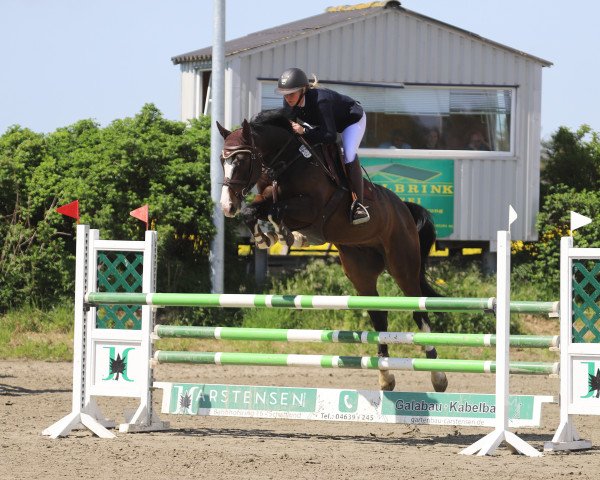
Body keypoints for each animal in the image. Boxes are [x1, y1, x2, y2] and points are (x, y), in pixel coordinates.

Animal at [218, 111, 448, 394]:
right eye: (222, 161)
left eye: (241, 160)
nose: (227, 206)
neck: (287, 161)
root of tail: (404, 209)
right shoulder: (270, 198)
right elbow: (255, 210)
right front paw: (267, 237)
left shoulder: (311, 208)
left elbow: (276, 210)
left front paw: (283, 235)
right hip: (360, 271)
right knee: (379, 317)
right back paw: (385, 376)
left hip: (402, 265)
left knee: (418, 311)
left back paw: (438, 376)